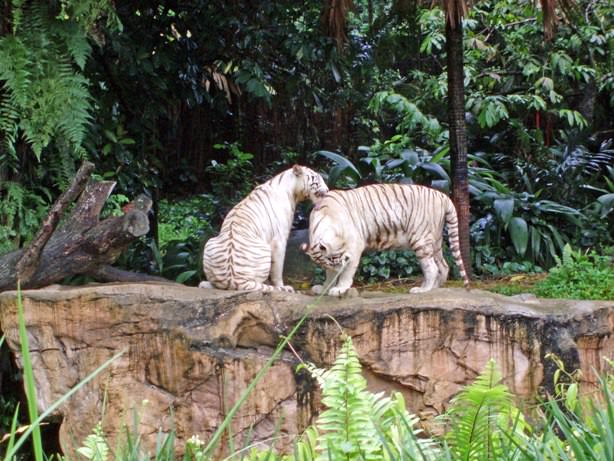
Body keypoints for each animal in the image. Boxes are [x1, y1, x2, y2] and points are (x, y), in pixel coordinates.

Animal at [200, 165, 330, 292]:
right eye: (317, 179)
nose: (328, 190)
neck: (292, 190)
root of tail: (236, 281)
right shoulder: (279, 240)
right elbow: (277, 267)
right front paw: (282, 287)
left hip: (209, 243)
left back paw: (205, 284)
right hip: (265, 249)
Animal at [304, 182, 472, 294]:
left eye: (334, 259)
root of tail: (443, 196)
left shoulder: (354, 249)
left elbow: (347, 271)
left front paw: (339, 288)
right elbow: (330, 274)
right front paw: (325, 288)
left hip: (420, 240)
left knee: (432, 267)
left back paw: (422, 289)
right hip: (435, 240)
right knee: (443, 265)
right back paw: (435, 288)